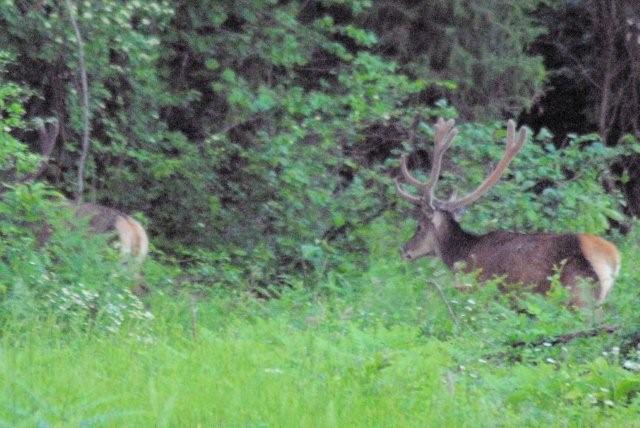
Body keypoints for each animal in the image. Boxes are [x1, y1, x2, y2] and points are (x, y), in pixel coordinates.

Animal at [396, 116, 620, 304]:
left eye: (419, 226)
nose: (405, 249)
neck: (462, 255)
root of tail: (614, 258)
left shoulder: (482, 288)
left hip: (578, 294)